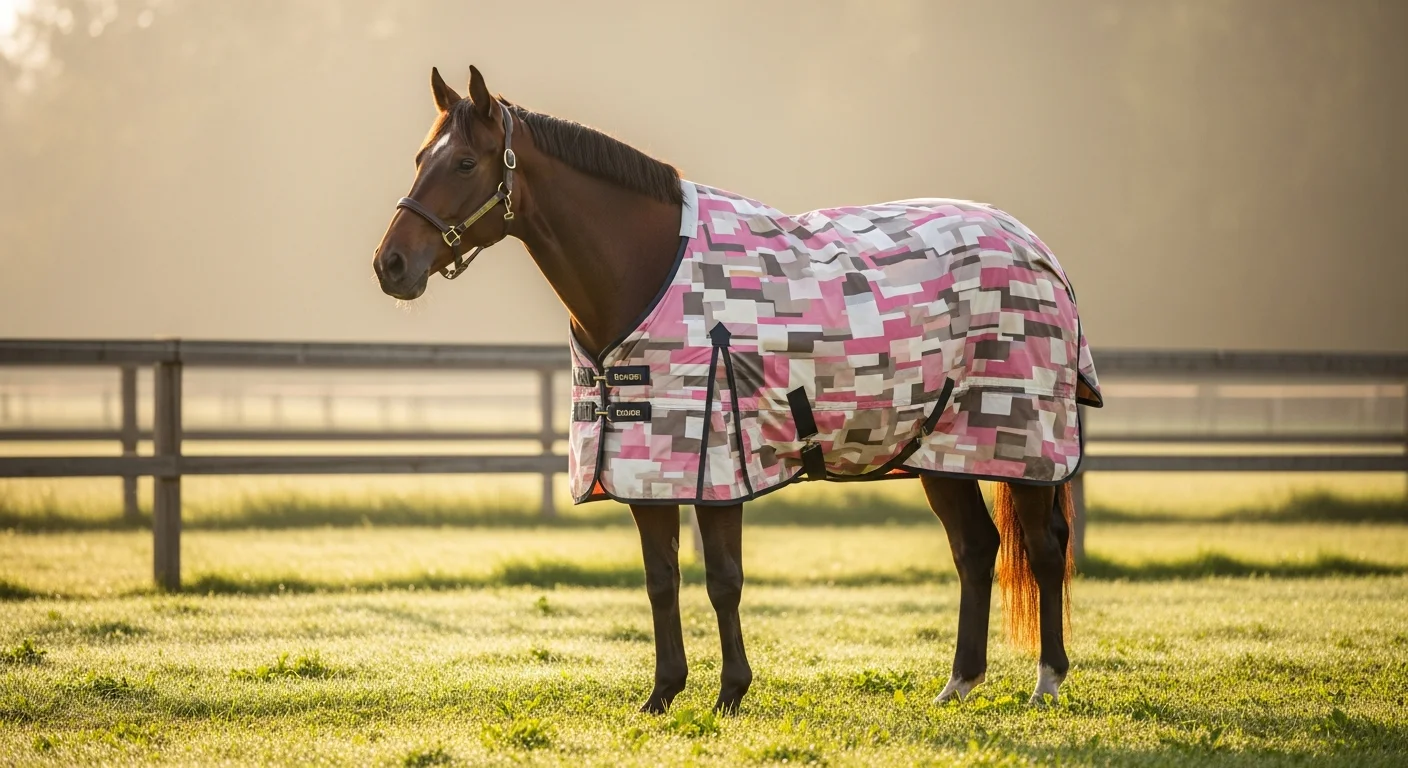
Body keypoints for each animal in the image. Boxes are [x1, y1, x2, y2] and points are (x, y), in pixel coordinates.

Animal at [372, 66, 1101, 715]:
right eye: (419, 157)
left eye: (465, 163)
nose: (391, 265)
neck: (644, 272)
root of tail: (1040, 254)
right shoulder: (646, 470)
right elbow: (661, 581)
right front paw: (662, 695)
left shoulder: (717, 466)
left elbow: (724, 582)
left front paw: (730, 694)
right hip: (939, 451)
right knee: (975, 550)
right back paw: (958, 685)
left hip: (1024, 444)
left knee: (1044, 550)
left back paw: (1047, 683)